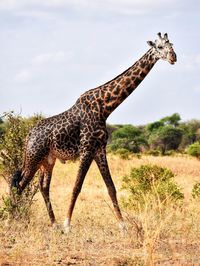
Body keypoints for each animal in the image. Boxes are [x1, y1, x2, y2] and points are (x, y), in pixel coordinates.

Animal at [11, 32, 177, 232]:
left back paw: (53, 224)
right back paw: (14, 219)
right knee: (20, 184)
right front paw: (68, 225)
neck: (105, 107)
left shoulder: (100, 149)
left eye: (171, 44)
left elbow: (111, 187)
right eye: (159, 47)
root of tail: (28, 135)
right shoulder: (86, 148)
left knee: (43, 186)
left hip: (47, 160)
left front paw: (123, 227)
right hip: (33, 157)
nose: (173, 57)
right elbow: (76, 186)